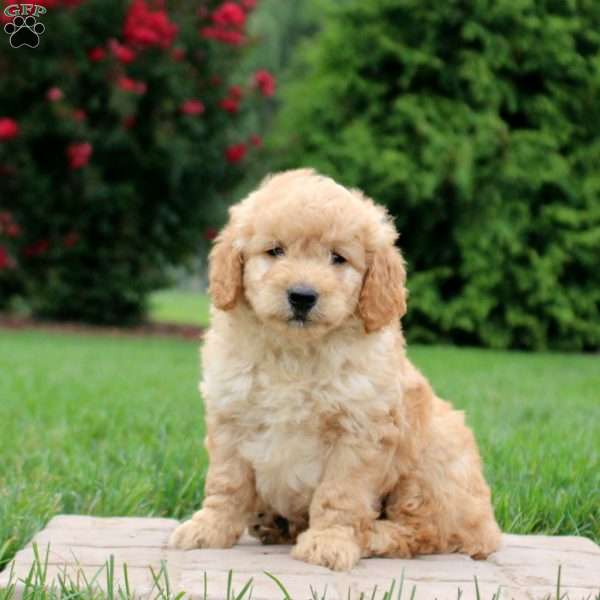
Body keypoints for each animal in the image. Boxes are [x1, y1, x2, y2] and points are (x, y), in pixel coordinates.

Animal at [170, 169, 502, 572]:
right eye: (275, 251)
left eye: (338, 258)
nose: (302, 295)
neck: (295, 354)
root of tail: (488, 528)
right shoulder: (230, 417)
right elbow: (226, 483)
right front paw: (208, 528)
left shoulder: (359, 432)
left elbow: (340, 496)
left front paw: (329, 542)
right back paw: (272, 522)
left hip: (431, 461)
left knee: (426, 531)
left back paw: (372, 535)